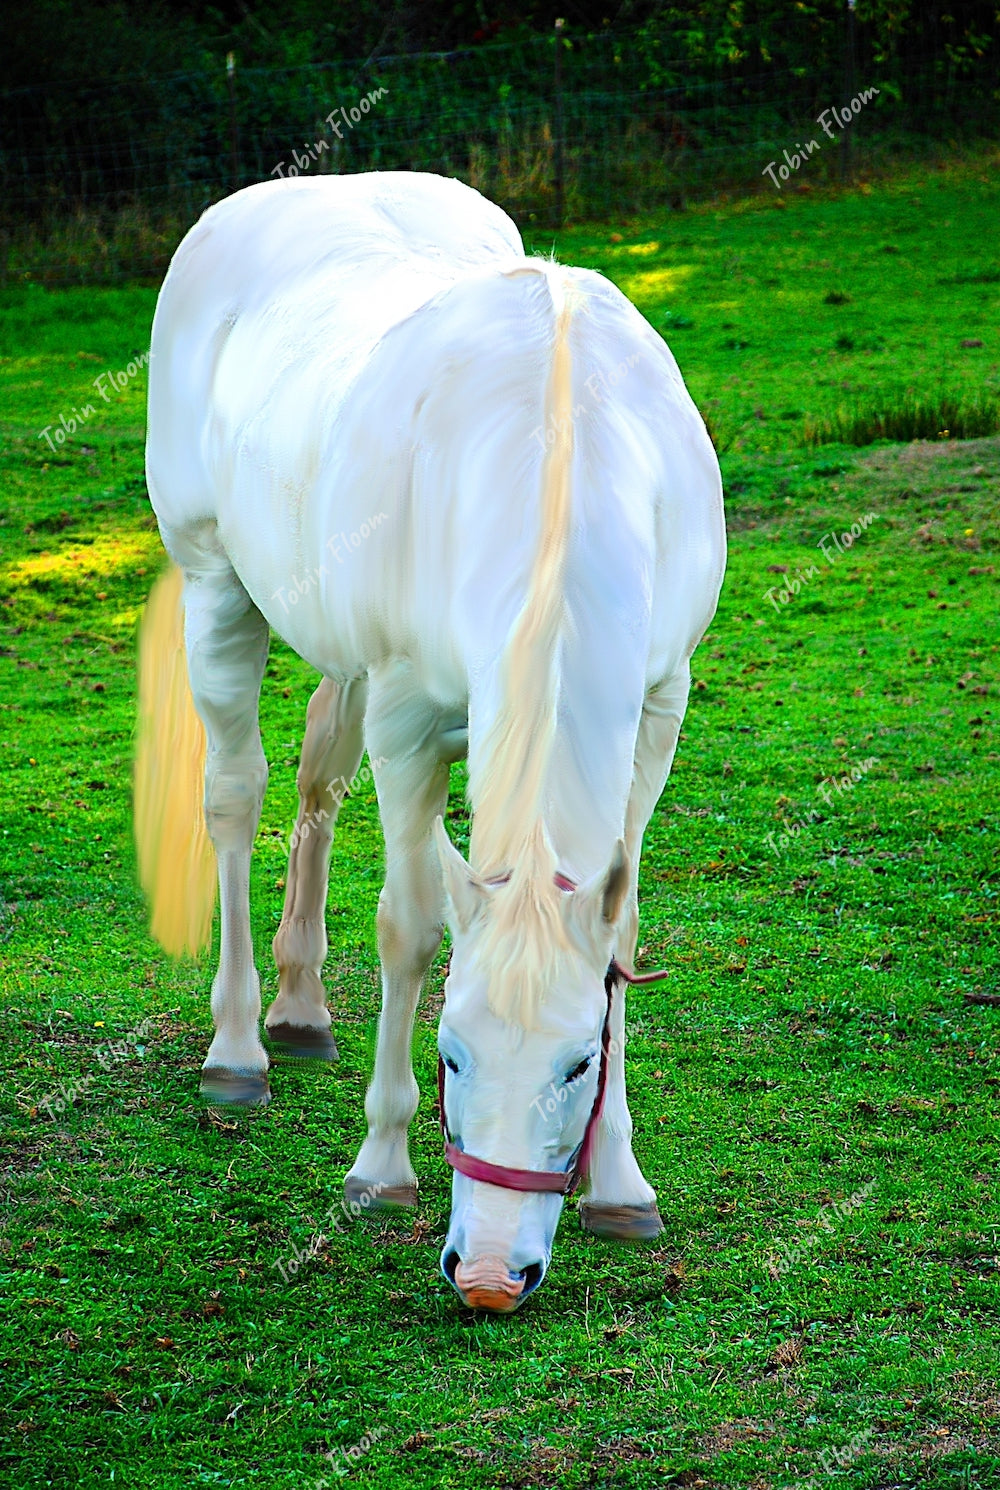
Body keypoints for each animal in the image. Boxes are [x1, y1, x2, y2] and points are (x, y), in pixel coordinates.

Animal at [137, 174, 724, 1311]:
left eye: (578, 1063)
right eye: (450, 1055)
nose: (491, 1275)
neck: (562, 452)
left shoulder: (659, 705)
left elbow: (620, 937)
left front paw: (620, 1184)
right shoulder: (408, 717)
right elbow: (409, 924)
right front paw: (379, 1165)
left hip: (342, 652)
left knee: (317, 778)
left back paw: (302, 1006)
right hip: (214, 585)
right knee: (237, 793)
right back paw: (239, 1047)